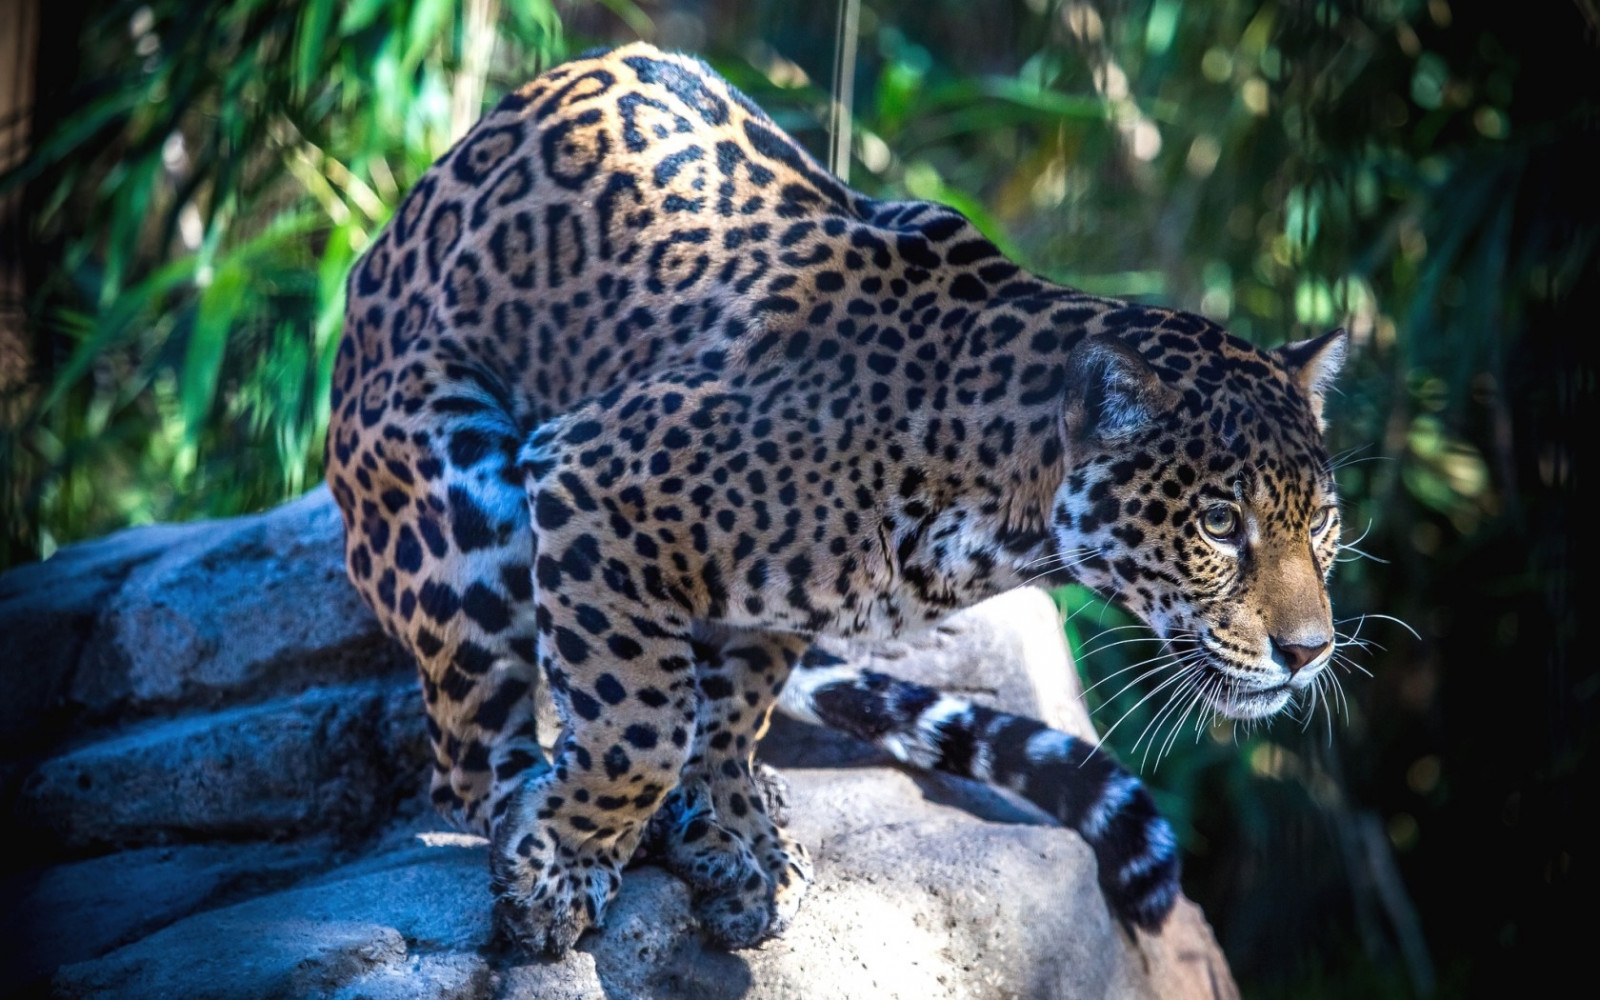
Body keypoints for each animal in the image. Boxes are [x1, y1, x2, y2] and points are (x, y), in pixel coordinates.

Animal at [326, 42, 1347, 958]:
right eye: (1219, 523)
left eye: (1323, 525)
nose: (1308, 653)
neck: (998, 514)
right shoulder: (594, 480)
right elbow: (637, 728)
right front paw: (564, 868)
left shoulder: (766, 604)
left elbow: (727, 712)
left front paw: (736, 826)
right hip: (448, 489)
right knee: (467, 764)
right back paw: (542, 814)